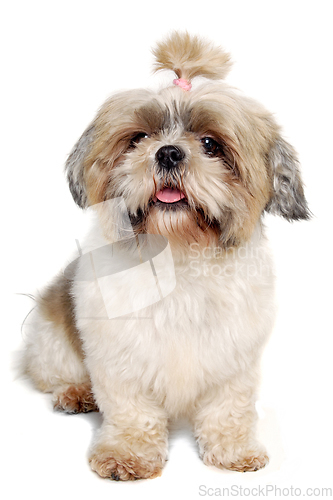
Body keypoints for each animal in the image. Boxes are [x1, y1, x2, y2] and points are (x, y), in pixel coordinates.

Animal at [23, 32, 308, 480]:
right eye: (139, 139)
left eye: (210, 144)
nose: (169, 152)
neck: (179, 253)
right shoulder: (120, 356)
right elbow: (131, 410)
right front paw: (127, 453)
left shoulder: (234, 357)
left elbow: (229, 408)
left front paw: (233, 450)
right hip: (52, 339)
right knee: (56, 374)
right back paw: (76, 392)